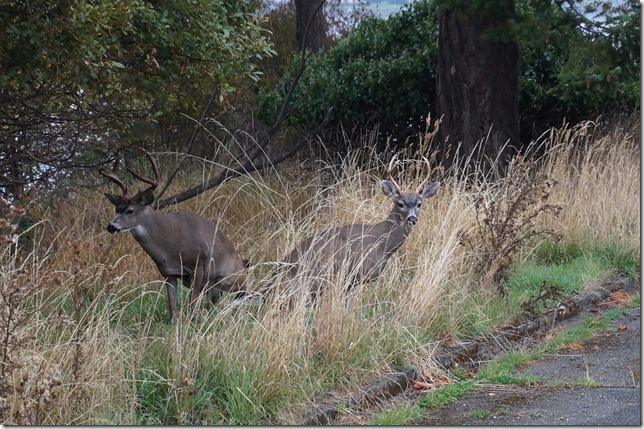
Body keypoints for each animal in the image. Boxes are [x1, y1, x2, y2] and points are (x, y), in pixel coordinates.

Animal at [100, 150, 250, 323]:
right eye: (116, 208)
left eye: (130, 210)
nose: (111, 227)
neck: (169, 244)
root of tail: (244, 267)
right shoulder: (168, 273)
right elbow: (172, 306)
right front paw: (174, 324)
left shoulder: (198, 262)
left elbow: (192, 302)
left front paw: (192, 323)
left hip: (229, 280)